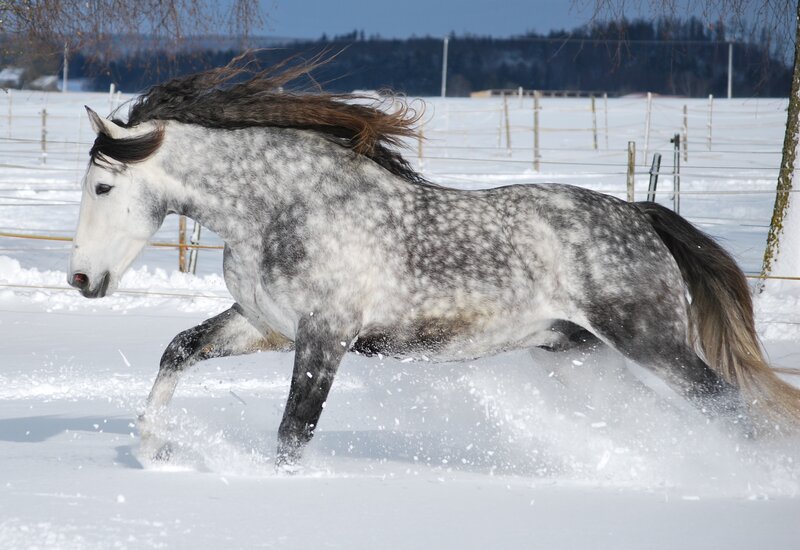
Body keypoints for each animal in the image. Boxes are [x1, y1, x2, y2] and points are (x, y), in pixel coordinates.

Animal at [68, 58, 800, 467]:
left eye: (102, 187)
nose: (80, 279)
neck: (284, 206)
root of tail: (642, 215)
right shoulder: (266, 324)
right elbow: (178, 349)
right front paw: (151, 449)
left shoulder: (325, 335)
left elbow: (293, 432)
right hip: (581, 355)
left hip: (651, 343)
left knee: (729, 407)